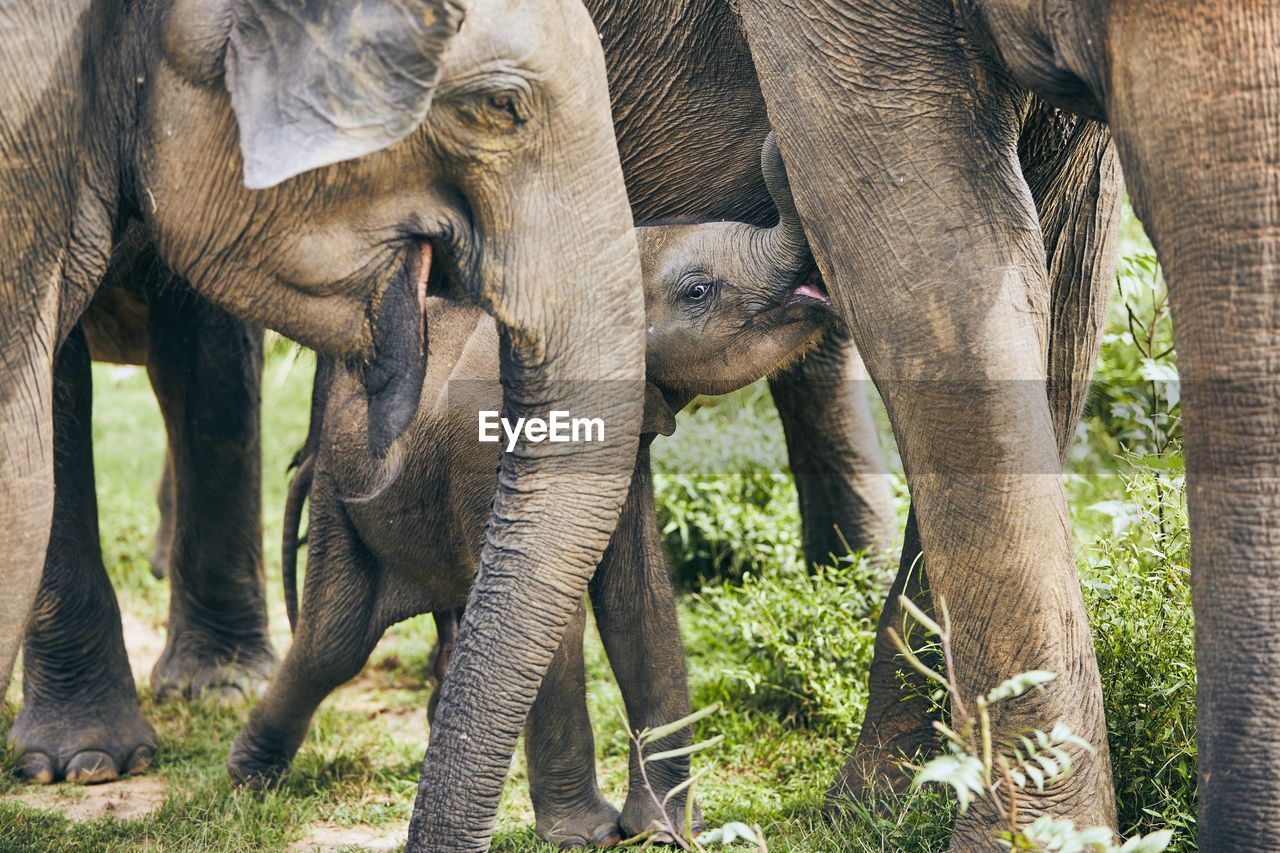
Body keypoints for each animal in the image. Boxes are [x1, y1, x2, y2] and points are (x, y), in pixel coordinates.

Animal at [229, 134, 829, 845]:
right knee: (333, 644)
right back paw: (248, 780)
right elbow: (560, 618)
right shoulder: (486, 454)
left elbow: (639, 600)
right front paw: (585, 837)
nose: (774, 142)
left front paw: (665, 832)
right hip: (338, 504)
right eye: (698, 290)